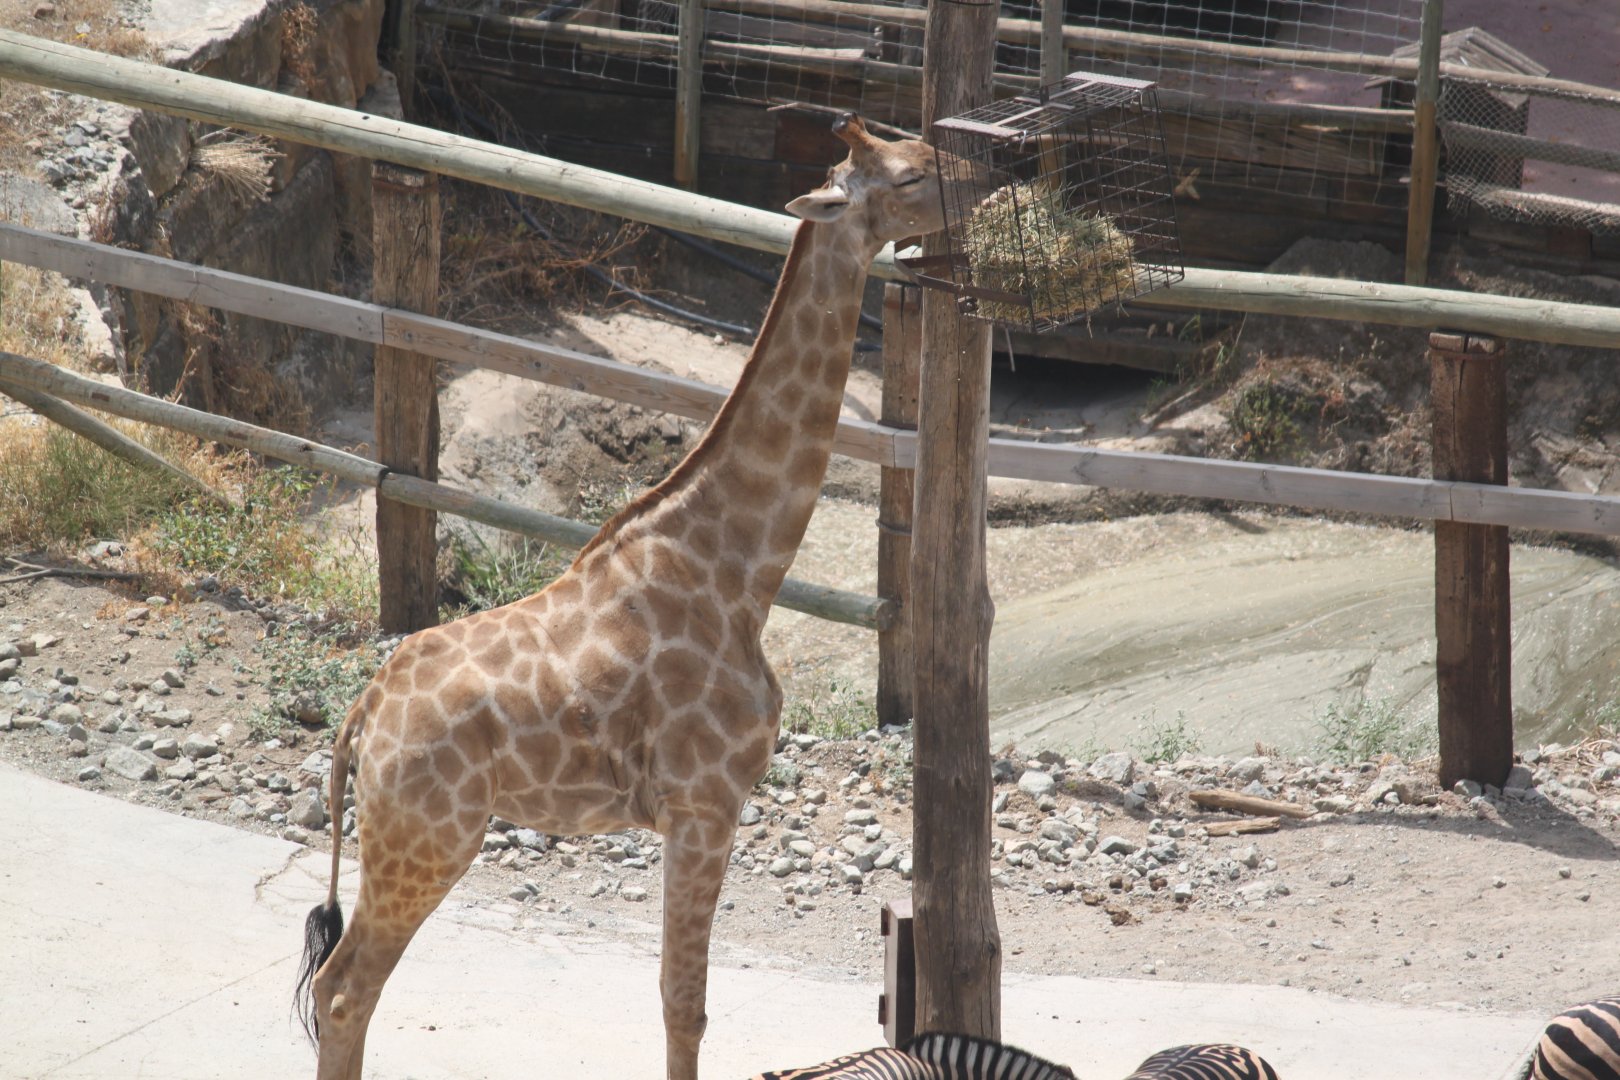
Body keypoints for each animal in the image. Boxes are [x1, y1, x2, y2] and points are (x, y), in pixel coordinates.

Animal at [292, 113, 945, 1080]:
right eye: (905, 177)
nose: (986, 176)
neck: (740, 571)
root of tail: (362, 715)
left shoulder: (694, 808)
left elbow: (681, 1001)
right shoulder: (705, 802)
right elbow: (685, 1005)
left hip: (411, 836)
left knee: (342, 985)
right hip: (430, 836)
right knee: (343, 989)